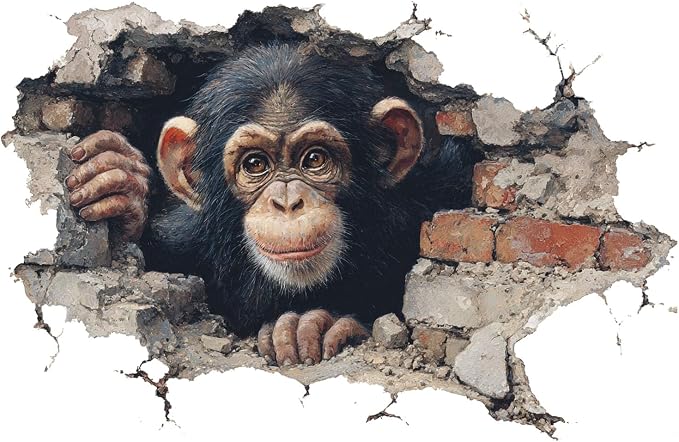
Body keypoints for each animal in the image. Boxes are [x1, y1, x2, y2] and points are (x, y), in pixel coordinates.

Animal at [65, 43, 476, 366]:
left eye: (314, 159)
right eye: (255, 164)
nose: (287, 202)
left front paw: (309, 326)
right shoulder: (183, 241)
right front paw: (117, 181)